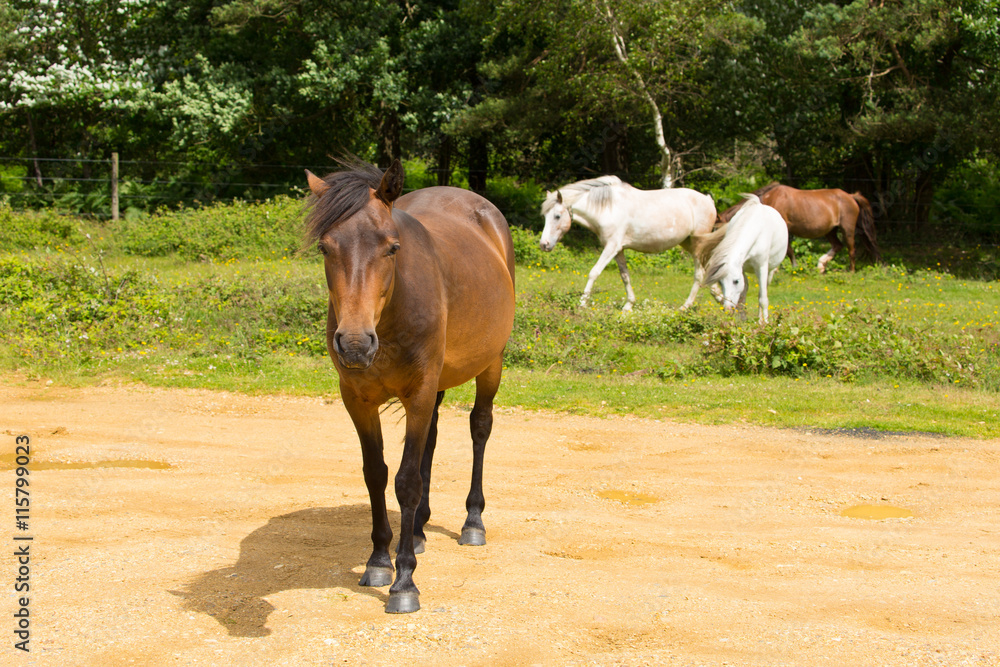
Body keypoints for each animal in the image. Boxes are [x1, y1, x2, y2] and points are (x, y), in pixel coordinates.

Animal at [304, 159, 516, 612]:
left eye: (392, 248)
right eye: (325, 248)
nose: (354, 343)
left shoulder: (418, 393)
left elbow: (406, 481)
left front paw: (404, 582)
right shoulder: (358, 400)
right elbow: (377, 474)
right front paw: (379, 561)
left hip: (491, 364)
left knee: (480, 428)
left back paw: (473, 521)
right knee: (430, 443)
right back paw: (417, 530)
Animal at [540, 177, 720, 314]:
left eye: (557, 216)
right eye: (545, 216)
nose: (544, 244)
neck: (608, 208)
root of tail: (708, 199)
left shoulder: (611, 247)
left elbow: (594, 272)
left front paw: (582, 303)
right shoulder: (618, 249)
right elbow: (625, 276)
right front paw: (629, 305)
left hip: (697, 245)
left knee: (699, 274)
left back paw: (686, 306)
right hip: (688, 243)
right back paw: (720, 297)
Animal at [704, 194, 788, 324]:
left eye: (736, 281)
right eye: (720, 282)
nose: (728, 309)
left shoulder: (762, 267)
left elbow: (763, 298)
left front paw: (766, 323)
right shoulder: (741, 267)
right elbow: (743, 294)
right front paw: (741, 319)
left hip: (768, 271)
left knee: (762, 293)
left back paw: (760, 320)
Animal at [720, 181, 884, 272]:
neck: (770, 200)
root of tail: (851, 196)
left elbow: (788, 250)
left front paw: (790, 267)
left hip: (847, 229)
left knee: (851, 249)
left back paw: (850, 271)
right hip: (830, 231)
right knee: (838, 246)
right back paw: (821, 266)